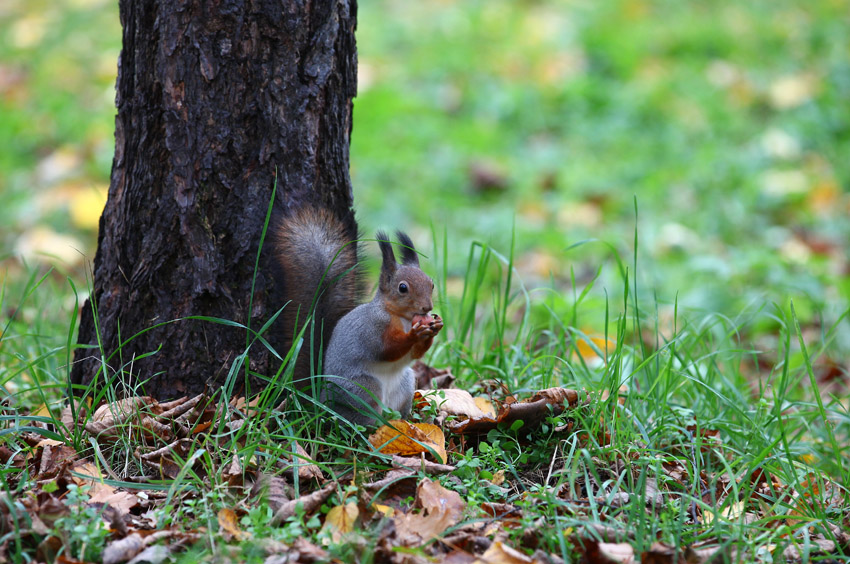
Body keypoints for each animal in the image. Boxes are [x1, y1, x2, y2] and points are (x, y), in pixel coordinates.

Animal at [274, 209, 444, 426]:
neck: (402, 318)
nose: (427, 307)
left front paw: (436, 326)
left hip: (405, 386)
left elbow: (415, 354)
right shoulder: (371, 329)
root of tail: (321, 398)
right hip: (363, 390)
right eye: (402, 288)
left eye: (431, 284)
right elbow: (387, 349)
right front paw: (414, 335)